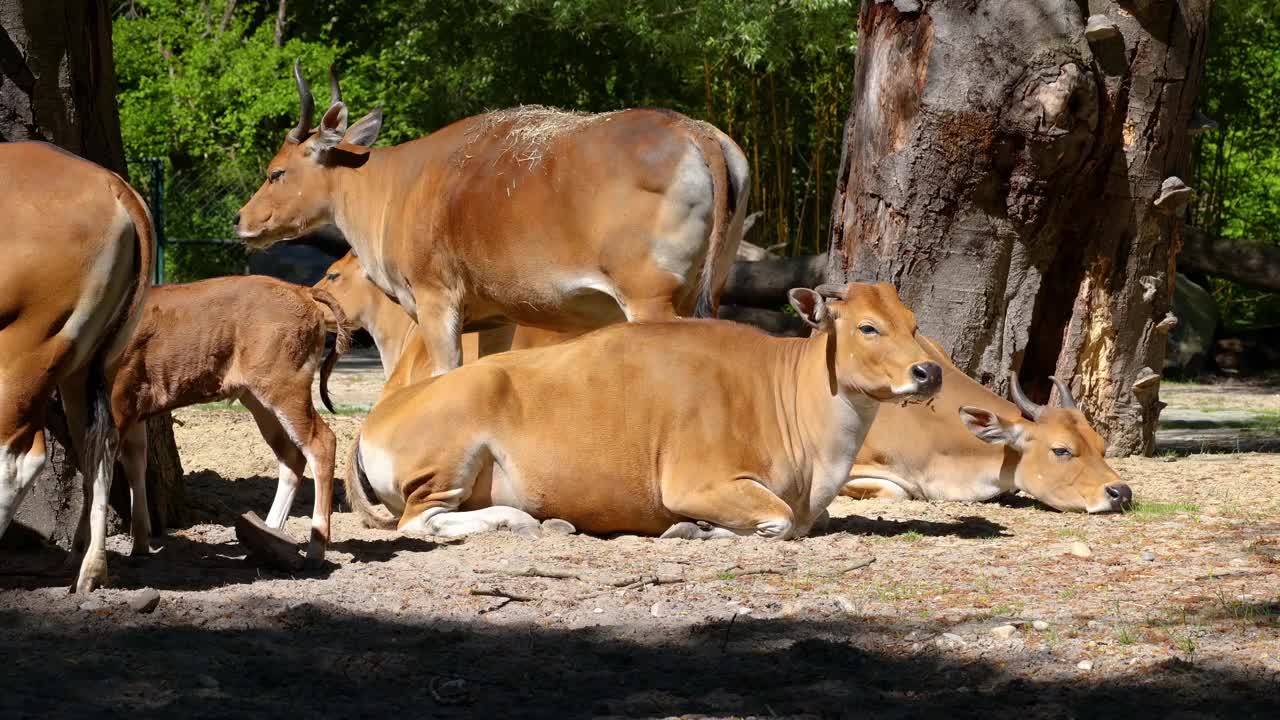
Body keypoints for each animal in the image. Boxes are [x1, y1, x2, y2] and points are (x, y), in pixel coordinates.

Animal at [110, 274, 348, 561]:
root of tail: (301, 291)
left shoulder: (117, 402)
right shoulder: (134, 411)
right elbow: (135, 464)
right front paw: (140, 546)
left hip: (285, 385)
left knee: (322, 443)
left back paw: (314, 550)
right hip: (257, 398)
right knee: (291, 455)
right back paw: (268, 534)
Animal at [345, 283, 947, 535]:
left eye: (914, 322)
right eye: (868, 327)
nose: (929, 371)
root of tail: (376, 417)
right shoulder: (696, 483)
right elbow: (776, 520)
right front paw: (695, 530)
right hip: (447, 457)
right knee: (417, 521)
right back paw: (515, 519)